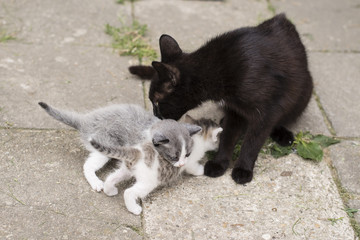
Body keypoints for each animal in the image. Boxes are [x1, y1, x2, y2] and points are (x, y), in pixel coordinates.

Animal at [39, 102, 202, 192]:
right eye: (173, 157)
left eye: (187, 154)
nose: (181, 163)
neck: (151, 127)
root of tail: (85, 121)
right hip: (104, 146)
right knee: (88, 165)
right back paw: (96, 183)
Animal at [89, 115, 222, 215]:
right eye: (187, 154)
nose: (218, 146)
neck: (199, 139)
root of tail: (138, 152)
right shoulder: (190, 162)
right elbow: (193, 167)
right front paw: (202, 170)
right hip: (148, 182)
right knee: (129, 192)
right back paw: (134, 208)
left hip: (126, 170)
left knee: (111, 177)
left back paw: (109, 190)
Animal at [129, 14, 312, 185]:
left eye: (156, 102)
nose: (155, 115)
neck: (216, 72)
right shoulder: (235, 110)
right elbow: (228, 135)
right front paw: (219, 163)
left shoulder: (265, 111)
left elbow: (253, 141)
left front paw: (243, 169)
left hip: (303, 94)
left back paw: (282, 133)